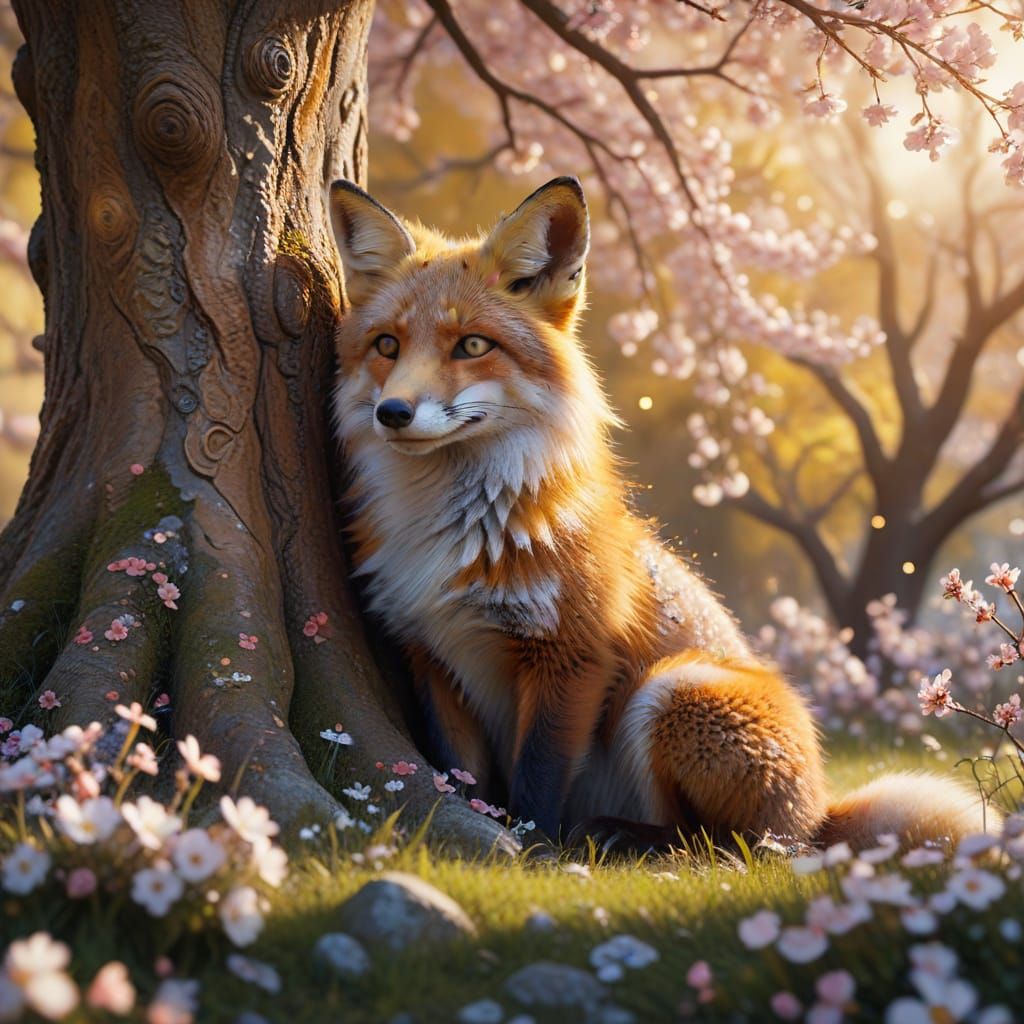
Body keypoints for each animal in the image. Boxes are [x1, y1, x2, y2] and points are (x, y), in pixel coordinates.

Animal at [329, 175, 991, 850]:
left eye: (471, 345)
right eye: (387, 345)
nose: (393, 413)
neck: (455, 534)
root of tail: (818, 812)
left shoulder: (573, 655)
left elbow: (539, 776)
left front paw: (533, 851)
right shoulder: (431, 653)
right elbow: (457, 775)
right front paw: (474, 824)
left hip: (672, 689)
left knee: (726, 845)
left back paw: (615, 837)